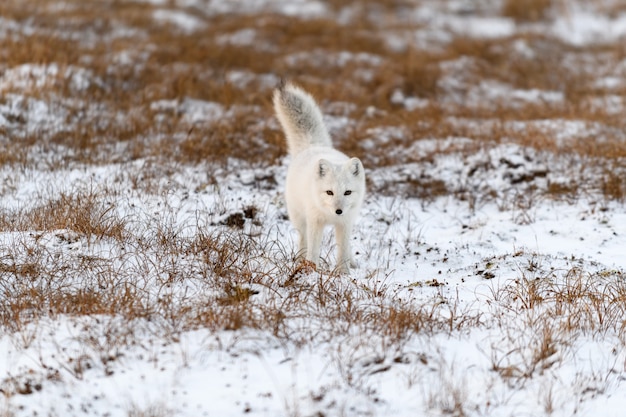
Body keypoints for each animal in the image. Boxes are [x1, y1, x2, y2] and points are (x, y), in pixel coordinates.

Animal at [272, 82, 366, 272]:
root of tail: (313, 145)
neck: (331, 216)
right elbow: (314, 249)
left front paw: (343, 272)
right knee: (303, 240)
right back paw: (300, 259)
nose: (338, 211)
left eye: (347, 192)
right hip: (299, 218)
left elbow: (343, 250)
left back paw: (353, 262)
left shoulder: (345, 223)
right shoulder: (315, 222)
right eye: (329, 192)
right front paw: (311, 270)